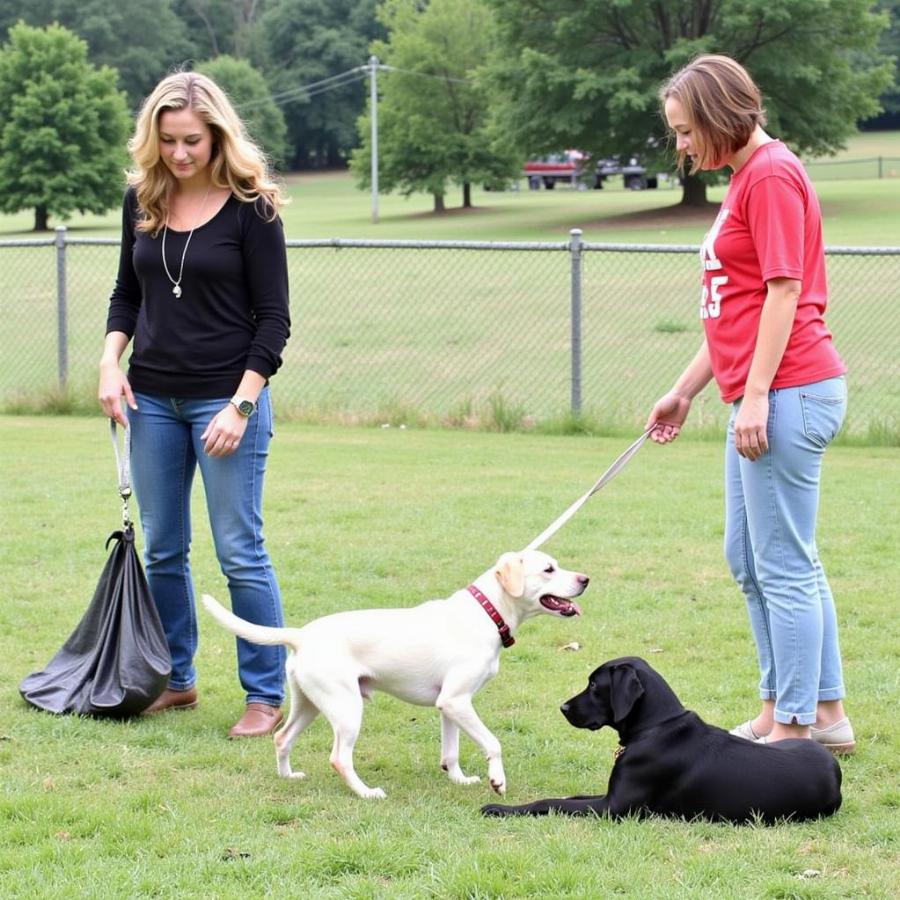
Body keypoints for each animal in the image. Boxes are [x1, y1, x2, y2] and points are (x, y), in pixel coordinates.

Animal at [486, 652, 844, 824]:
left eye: (594, 685)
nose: (563, 707)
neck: (655, 727)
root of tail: (836, 772)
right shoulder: (607, 796)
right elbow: (568, 797)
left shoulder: (613, 808)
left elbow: (550, 803)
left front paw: (498, 809)